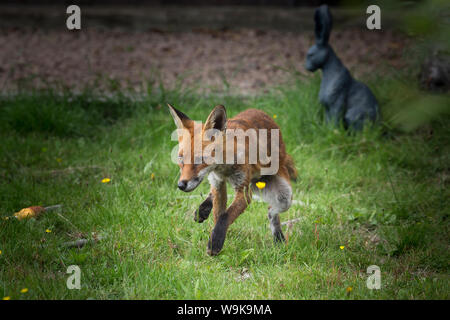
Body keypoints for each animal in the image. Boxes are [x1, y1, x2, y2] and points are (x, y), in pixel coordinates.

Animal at [167, 104, 298, 256]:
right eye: (180, 159)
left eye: (200, 159)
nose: (181, 185)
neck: (223, 167)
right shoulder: (218, 183)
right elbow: (218, 214)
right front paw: (215, 239)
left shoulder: (244, 191)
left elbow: (225, 216)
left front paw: (215, 242)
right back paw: (203, 209)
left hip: (284, 197)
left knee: (271, 211)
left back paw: (278, 239)